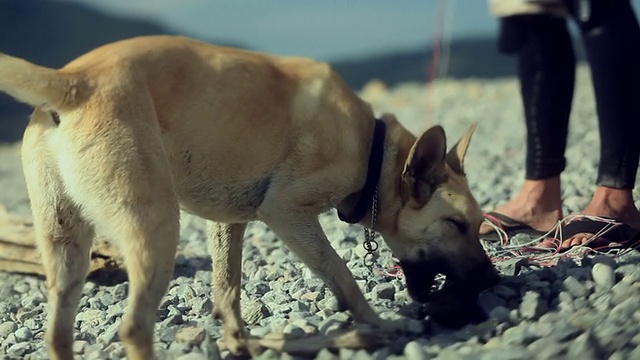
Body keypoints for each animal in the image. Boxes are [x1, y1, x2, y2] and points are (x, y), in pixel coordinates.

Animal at [0, 34, 498, 360]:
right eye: (455, 225)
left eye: (479, 226)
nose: (492, 279)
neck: (374, 151)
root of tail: (74, 80)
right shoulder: (287, 212)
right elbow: (341, 274)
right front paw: (375, 324)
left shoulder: (229, 223)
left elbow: (228, 292)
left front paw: (243, 342)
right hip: (156, 232)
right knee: (135, 328)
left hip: (66, 246)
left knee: (58, 334)